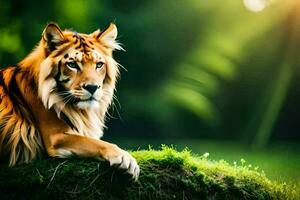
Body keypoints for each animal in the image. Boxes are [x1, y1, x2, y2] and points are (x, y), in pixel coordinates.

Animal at [0, 22, 140, 179]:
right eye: (72, 65)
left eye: (99, 65)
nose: (92, 87)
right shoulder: (55, 137)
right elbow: (96, 143)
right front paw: (126, 159)